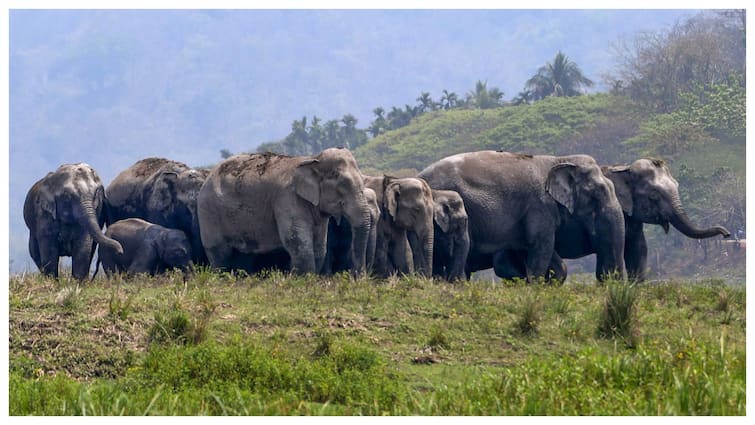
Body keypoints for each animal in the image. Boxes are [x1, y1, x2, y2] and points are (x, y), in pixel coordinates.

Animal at [195, 148, 372, 274]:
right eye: (343, 185)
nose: (357, 277)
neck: (313, 159)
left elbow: (320, 246)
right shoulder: (287, 200)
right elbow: (297, 242)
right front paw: (304, 280)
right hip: (208, 212)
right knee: (220, 254)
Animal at [420, 150, 628, 282]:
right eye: (597, 194)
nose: (607, 281)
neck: (557, 160)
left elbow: (531, 249)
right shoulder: (540, 207)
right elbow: (541, 246)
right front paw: (535, 286)